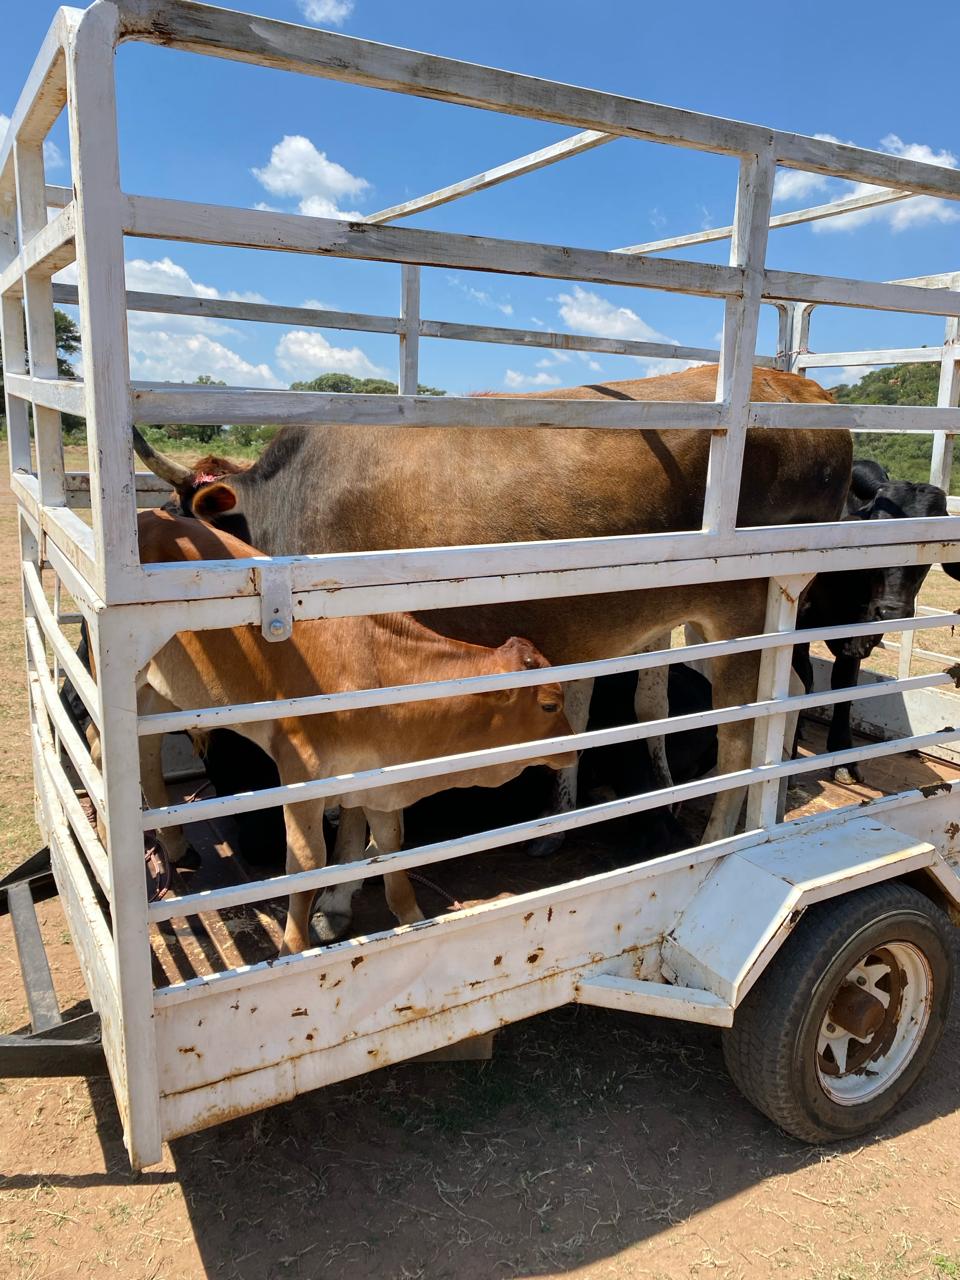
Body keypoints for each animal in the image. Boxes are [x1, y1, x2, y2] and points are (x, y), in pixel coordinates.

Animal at [133, 506, 570, 952]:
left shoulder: (378, 780)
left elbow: (390, 846)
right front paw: (293, 948)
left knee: (144, 747)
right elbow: (307, 865)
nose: (573, 747)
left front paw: (412, 919)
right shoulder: (301, 773)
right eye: (550, 704)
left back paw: (174, 844)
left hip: (159, 691)